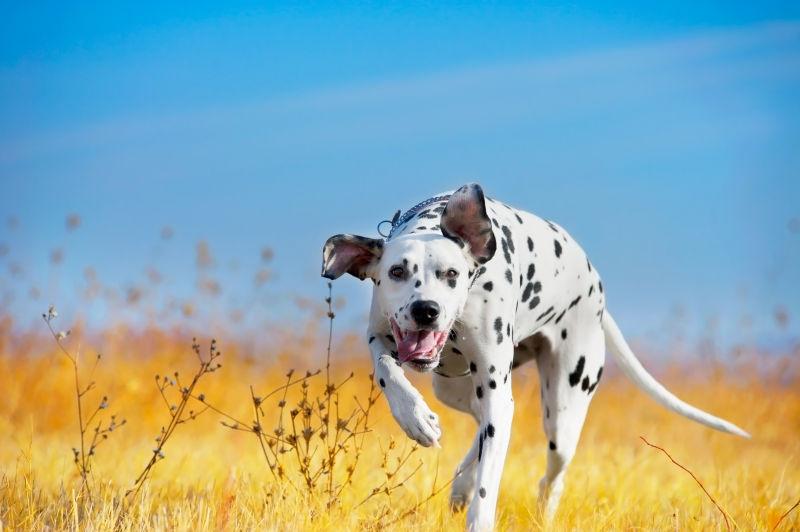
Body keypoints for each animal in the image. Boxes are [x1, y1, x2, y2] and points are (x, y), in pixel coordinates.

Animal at [320, 185, 752, 528]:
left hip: (561, 416)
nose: (426, 309)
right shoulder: (381, 334)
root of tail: (596, 291)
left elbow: (489, 482)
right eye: (396, 271)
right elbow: (386, 369)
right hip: (455, 388)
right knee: (479, 425)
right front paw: (415, 418)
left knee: (545, 475)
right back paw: (460, 481)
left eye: (452, 275)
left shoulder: (496, 391)